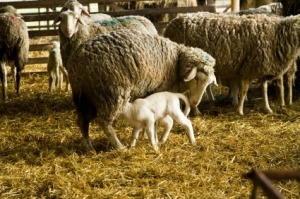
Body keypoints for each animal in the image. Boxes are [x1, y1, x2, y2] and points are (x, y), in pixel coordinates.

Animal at [67, 29, 216, 151]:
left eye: (208, 83)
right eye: (197, 79)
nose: (195, 102)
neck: (176, 61)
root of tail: (79, 60)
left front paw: (144, 134)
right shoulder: (157, 89)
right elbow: (154, 121)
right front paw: (152, 136)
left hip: (84, 95)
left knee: (82, 121)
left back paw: (89, 147)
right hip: (110, 92)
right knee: (104, 122)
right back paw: (120, 147)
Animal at [165, 12, 300, 115]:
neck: (277, 34)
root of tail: (172, 22)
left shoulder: (261, 68)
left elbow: (264, 89)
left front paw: (267, 108)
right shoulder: (247, 68)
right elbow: (244, 90)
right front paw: (240, 110)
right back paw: (195, 110)